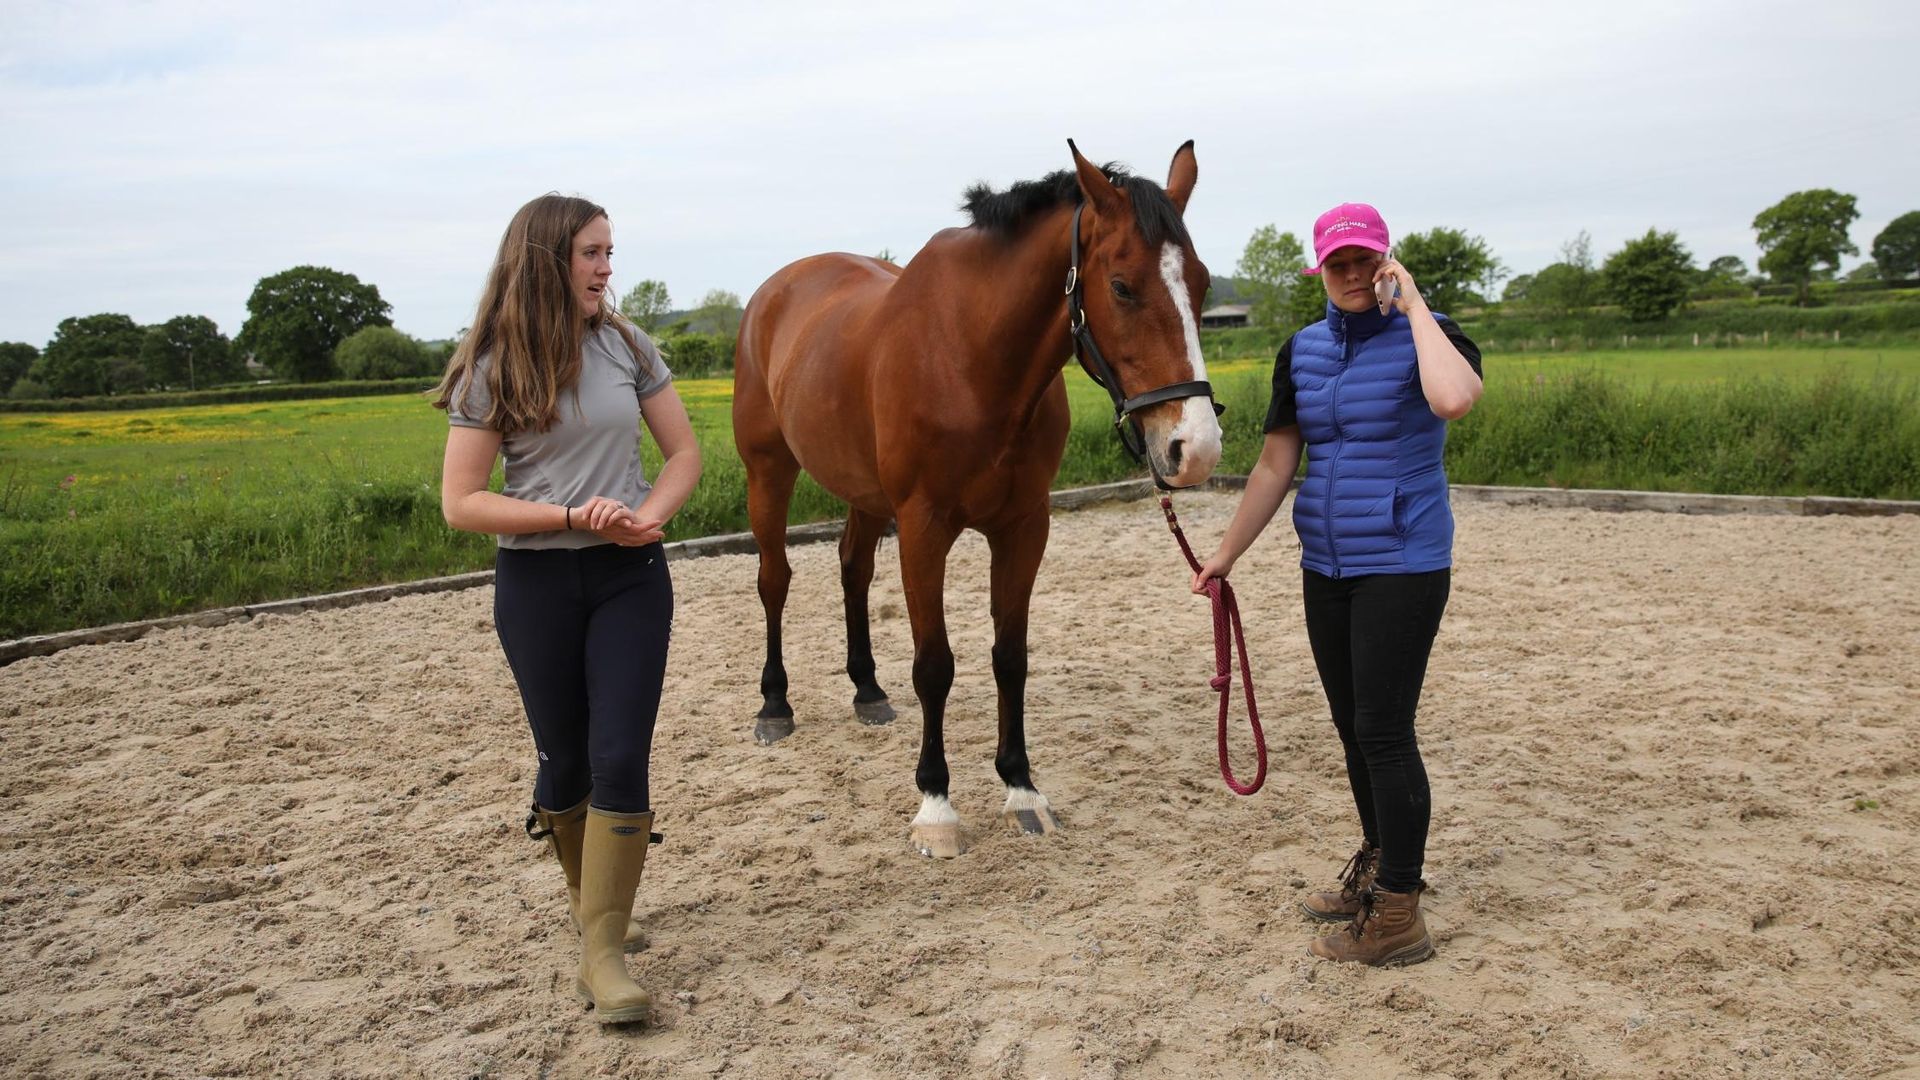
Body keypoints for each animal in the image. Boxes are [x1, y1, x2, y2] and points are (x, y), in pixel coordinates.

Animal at [731, 140, 1222, 856]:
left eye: (1203, 283)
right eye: (1122, 286)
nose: (1196, 447)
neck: (971, 357)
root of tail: (775, 292)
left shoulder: (1024, 527)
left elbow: (1009, 658)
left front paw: (1022, 789)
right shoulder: (923, 528)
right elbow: (935, 665)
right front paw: (936, 807)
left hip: (863, 493)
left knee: (853, 569)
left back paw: (867, 690)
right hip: (769, 472)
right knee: (774, 580)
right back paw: (774, 706)